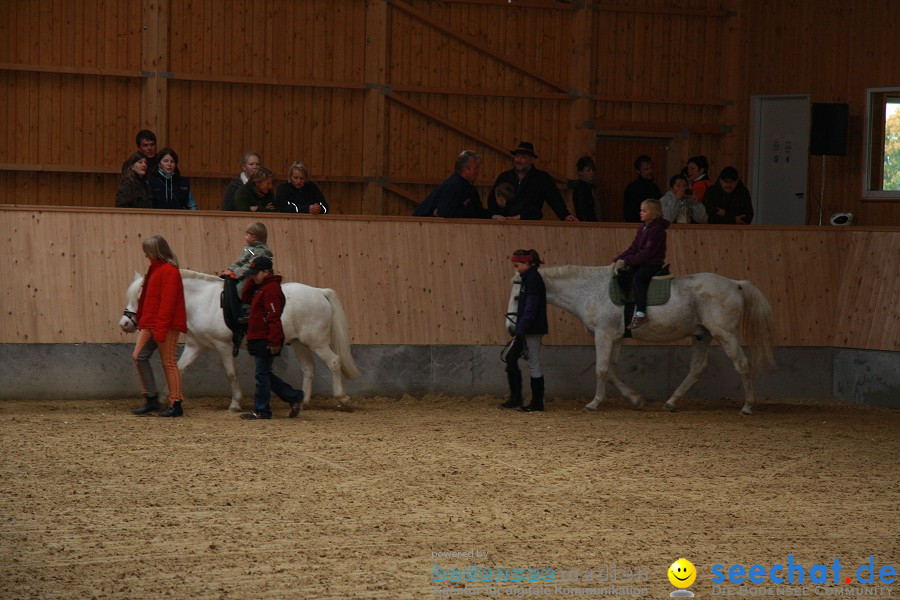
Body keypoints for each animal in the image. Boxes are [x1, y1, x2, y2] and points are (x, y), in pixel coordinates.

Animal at [118, 270, 358, 410]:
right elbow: (179, 367)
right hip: (300, 343)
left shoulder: (223, 346)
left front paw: (235, 402)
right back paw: (304, 400)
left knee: (334, 362)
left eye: (142, 296)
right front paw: (164, 397)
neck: (201, 301)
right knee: (308, 368)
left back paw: (343, 398)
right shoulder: (196, 346)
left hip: (316, 341)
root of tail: (319, 291)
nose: (125, 323)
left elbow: (231, 373)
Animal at [510, 264, 776, 414]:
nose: (511, 329)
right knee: (697, 368)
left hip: (724, 333)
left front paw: (594, 403)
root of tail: (735, 284)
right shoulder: (615, 337)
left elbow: (601, 369)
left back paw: (747, 406)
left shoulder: (604, 334)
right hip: (702, 335)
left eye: (517, 297)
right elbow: (612, 370)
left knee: (742, 365)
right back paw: (671, 402)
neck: (589, 290)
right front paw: (636, 400)